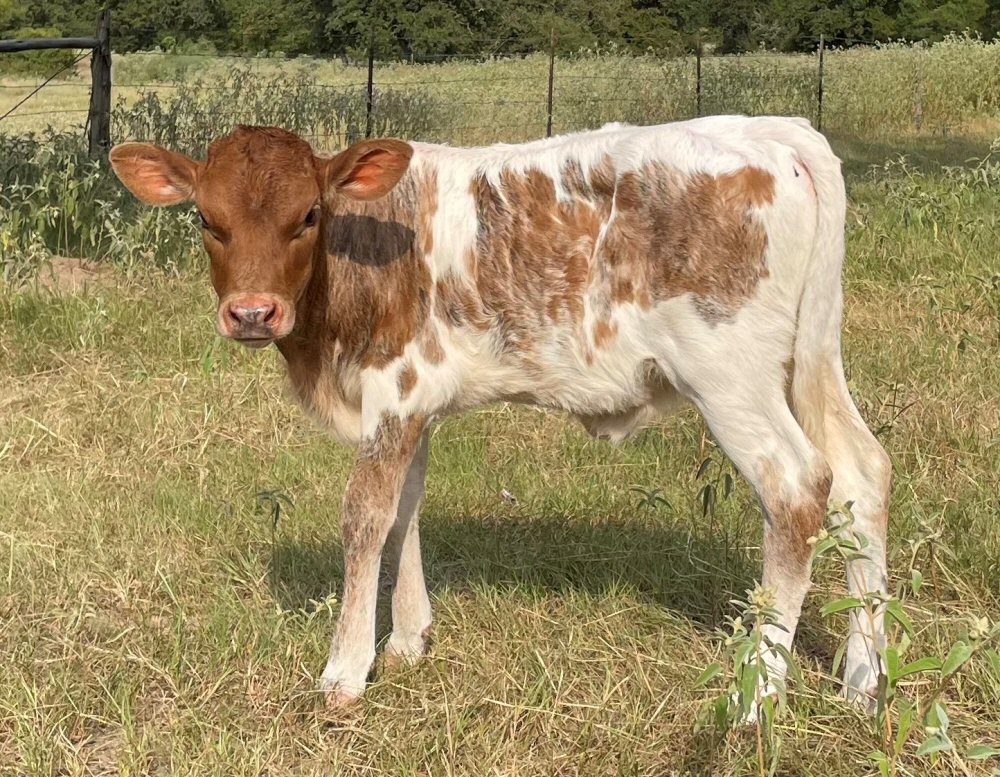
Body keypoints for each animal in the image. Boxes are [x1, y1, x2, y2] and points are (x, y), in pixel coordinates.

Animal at [109, 116, 891, 710]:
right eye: (207, 219)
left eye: (307, 215)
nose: (251, 313)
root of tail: (774, 131)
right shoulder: (417, 404)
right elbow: (406, 510)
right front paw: (409, 640)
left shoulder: (394, 389)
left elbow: (365, 516)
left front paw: (345, 670)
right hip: (810, 359)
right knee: (862, 472)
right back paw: (863, 679)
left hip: (730, 376)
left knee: (798, 488)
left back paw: (756, 697)